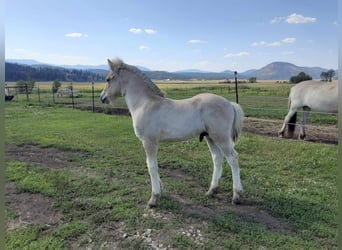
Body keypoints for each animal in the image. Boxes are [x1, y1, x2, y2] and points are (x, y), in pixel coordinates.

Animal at [100, 58, 244, 207]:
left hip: (221, 137)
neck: (145, 104)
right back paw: (212, 191)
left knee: (233, 158)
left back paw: (237, 196)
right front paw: (161, 189)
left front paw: (154, 198)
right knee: (217, 158)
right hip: (210, 137)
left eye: (108, 79)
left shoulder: (149, 141)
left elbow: (151, 166)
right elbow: (153, 165)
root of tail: (230, 103)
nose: (102, 97)